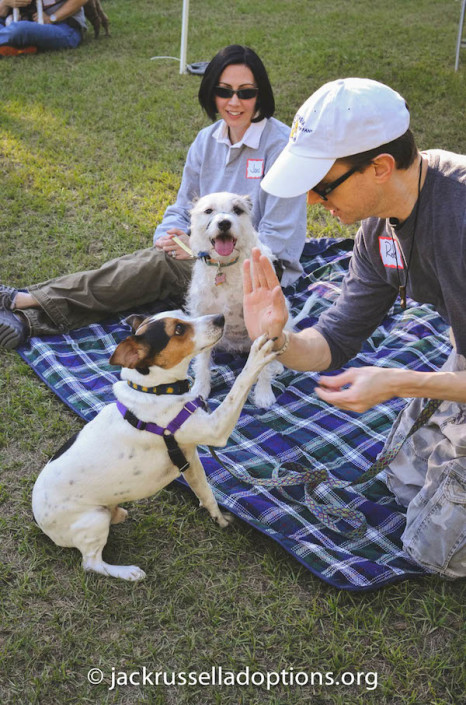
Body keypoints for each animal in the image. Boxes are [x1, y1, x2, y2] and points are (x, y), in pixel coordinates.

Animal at [32, 310, 276, 580]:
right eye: (178, 330)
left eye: (183, 314)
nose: (220, 318)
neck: (156, 390)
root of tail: (40, 523)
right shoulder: (216, 430)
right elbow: (240, 385)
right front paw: (258, 353)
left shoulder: (190, 460)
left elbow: (207, 496)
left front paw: (219, 519)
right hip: (93, 521)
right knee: (91, 563)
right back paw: (128, 572)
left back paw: (118, 513)